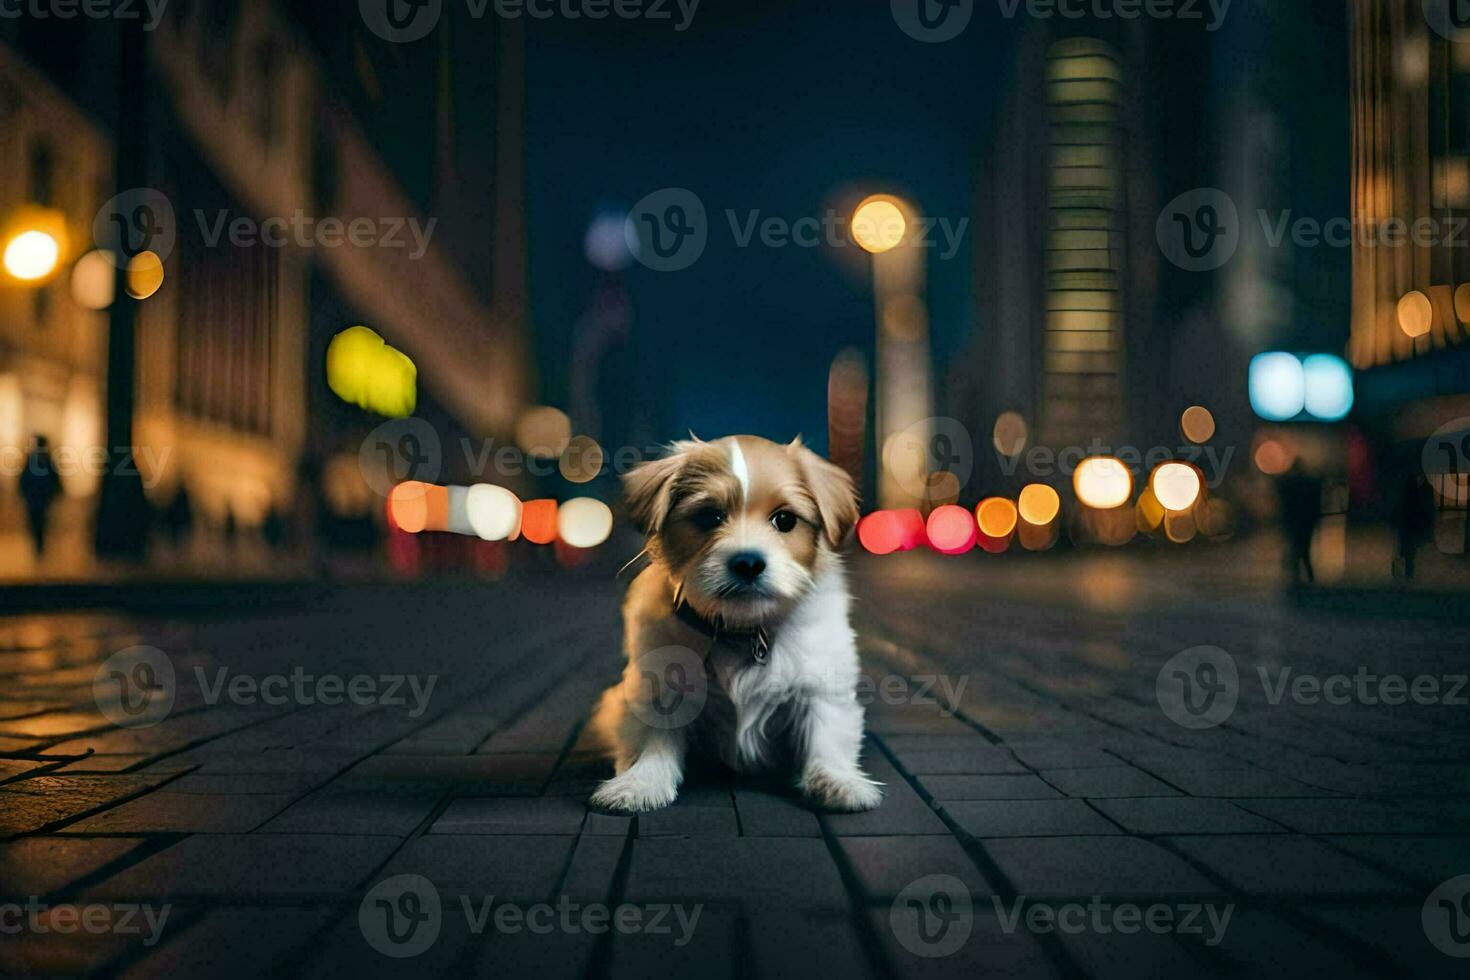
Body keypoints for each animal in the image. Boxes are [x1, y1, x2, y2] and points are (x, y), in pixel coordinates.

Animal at [588, 434, 882, 811]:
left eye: (784, 520)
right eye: (709, 517)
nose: (748, 563)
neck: (744, 630)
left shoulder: (821, 684)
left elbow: (826, 735)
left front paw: (838, 780)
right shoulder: (658, 688)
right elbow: (653, 739)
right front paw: (641, 781)